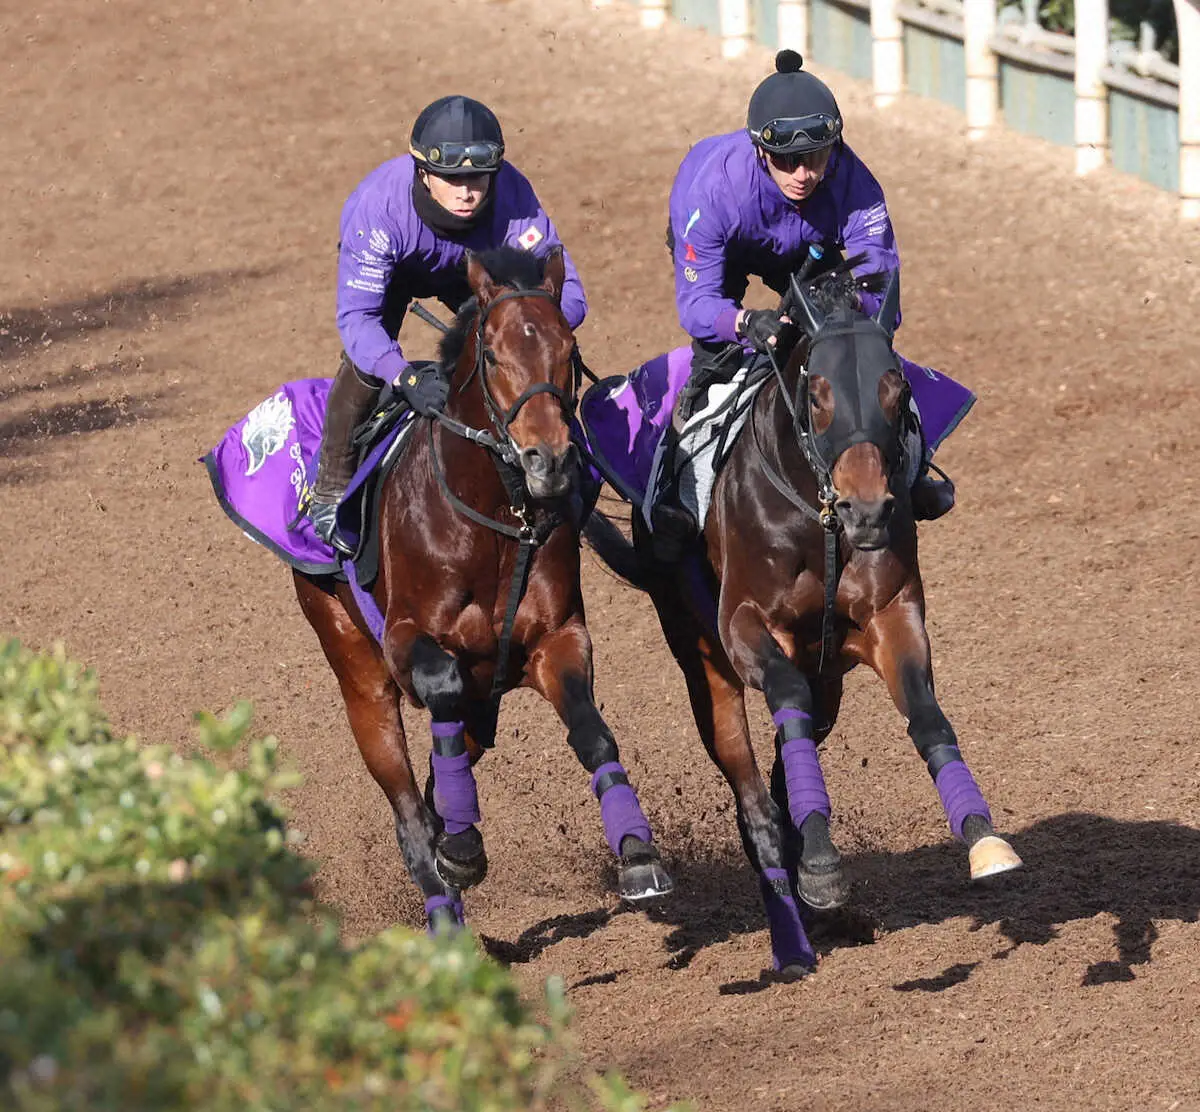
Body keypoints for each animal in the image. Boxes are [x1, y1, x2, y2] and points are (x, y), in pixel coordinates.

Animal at [293, 246, 672, 932]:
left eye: (567, 348)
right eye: (493, 355)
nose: (550, 461)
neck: (493, 517)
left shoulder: (556, 638)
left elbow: (592, 729)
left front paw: (637, 852)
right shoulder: (406, 642)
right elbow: (437, 686)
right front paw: (463, 850)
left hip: (479, 702)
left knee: (442, 777)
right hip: (357, 671)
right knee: (410, 812)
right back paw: (444, 900)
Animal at [582, 259, 1022, 978]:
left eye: (897, 388)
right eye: (816, 393)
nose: (867, 509)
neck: (817, 519)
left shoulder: (890, 615)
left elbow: (928, 716)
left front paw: (983, 838)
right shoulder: (743, 627)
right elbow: (779, 703)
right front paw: (821, 870)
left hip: (828, 682)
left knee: (790, 767)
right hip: (705, 666)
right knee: (754, 801)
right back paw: (792, 938)